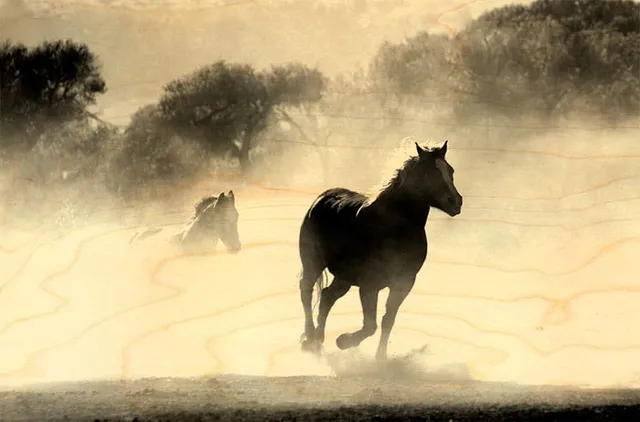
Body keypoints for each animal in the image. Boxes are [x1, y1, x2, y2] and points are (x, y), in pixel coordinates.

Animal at [297, 141, 463, 361]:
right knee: (306, 290)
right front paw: (343, 341)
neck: (395, 227)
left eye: (450, 170)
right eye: (429, 172)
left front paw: (380, 358)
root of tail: (322, 198)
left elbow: (387, 320)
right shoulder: (370, 284)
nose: (456, 201)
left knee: (326, 297)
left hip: (344, 277)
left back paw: (318, 340)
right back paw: (309, 338)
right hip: (313, 263)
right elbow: (370, 325)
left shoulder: (403, 283)